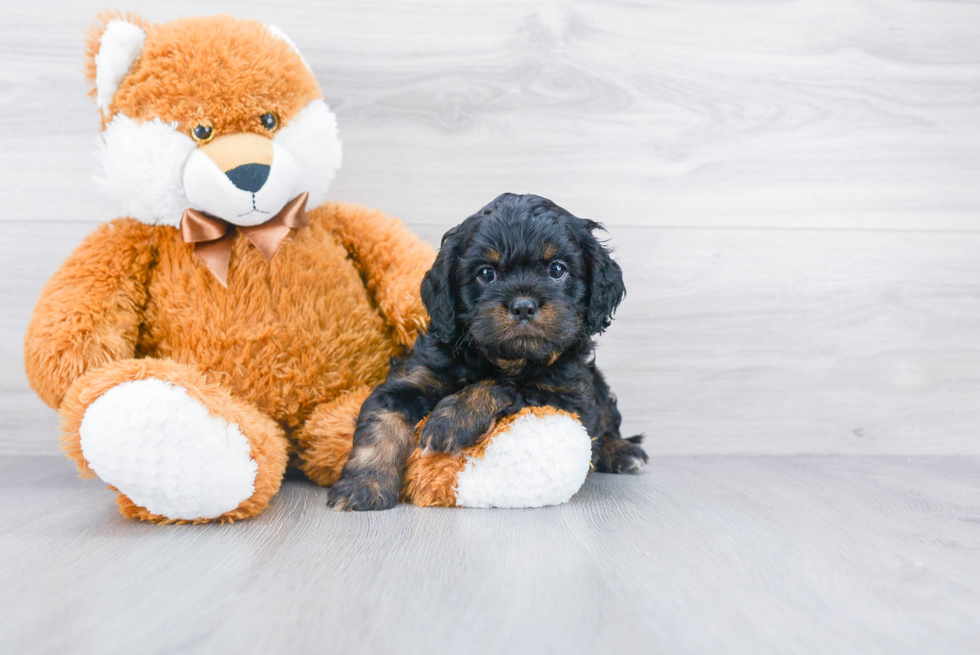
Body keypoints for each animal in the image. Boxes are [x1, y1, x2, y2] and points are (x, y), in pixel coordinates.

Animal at [334, 192, 648, 510]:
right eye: (486, 273)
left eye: (557, 269)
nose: (523, 306)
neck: (503, 358)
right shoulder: (412, 378)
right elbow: (380, 423)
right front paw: (362, 485)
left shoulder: (567, 397)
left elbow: (508, 385)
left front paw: (451, 419)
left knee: (607, 424)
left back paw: (622, 452)